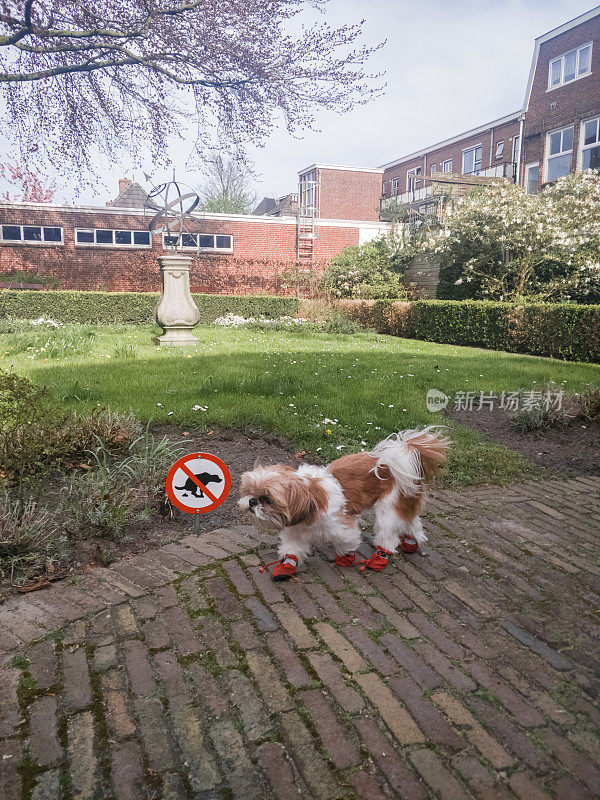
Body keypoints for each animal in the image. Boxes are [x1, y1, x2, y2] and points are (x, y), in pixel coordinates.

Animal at [237, 428, 448, 580]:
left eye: (267, 499)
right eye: (249, 492)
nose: (252, 501)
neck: (310, 499)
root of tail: (396, 461)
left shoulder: (341, 525)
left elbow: (347, 540)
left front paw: (345, 557)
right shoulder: (295, 530)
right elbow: (292, 550)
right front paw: (286, 566)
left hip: (389, 508)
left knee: (388, 533)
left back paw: (381, 556)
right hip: (403, 503)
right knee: (411, 521)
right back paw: (411, 541)